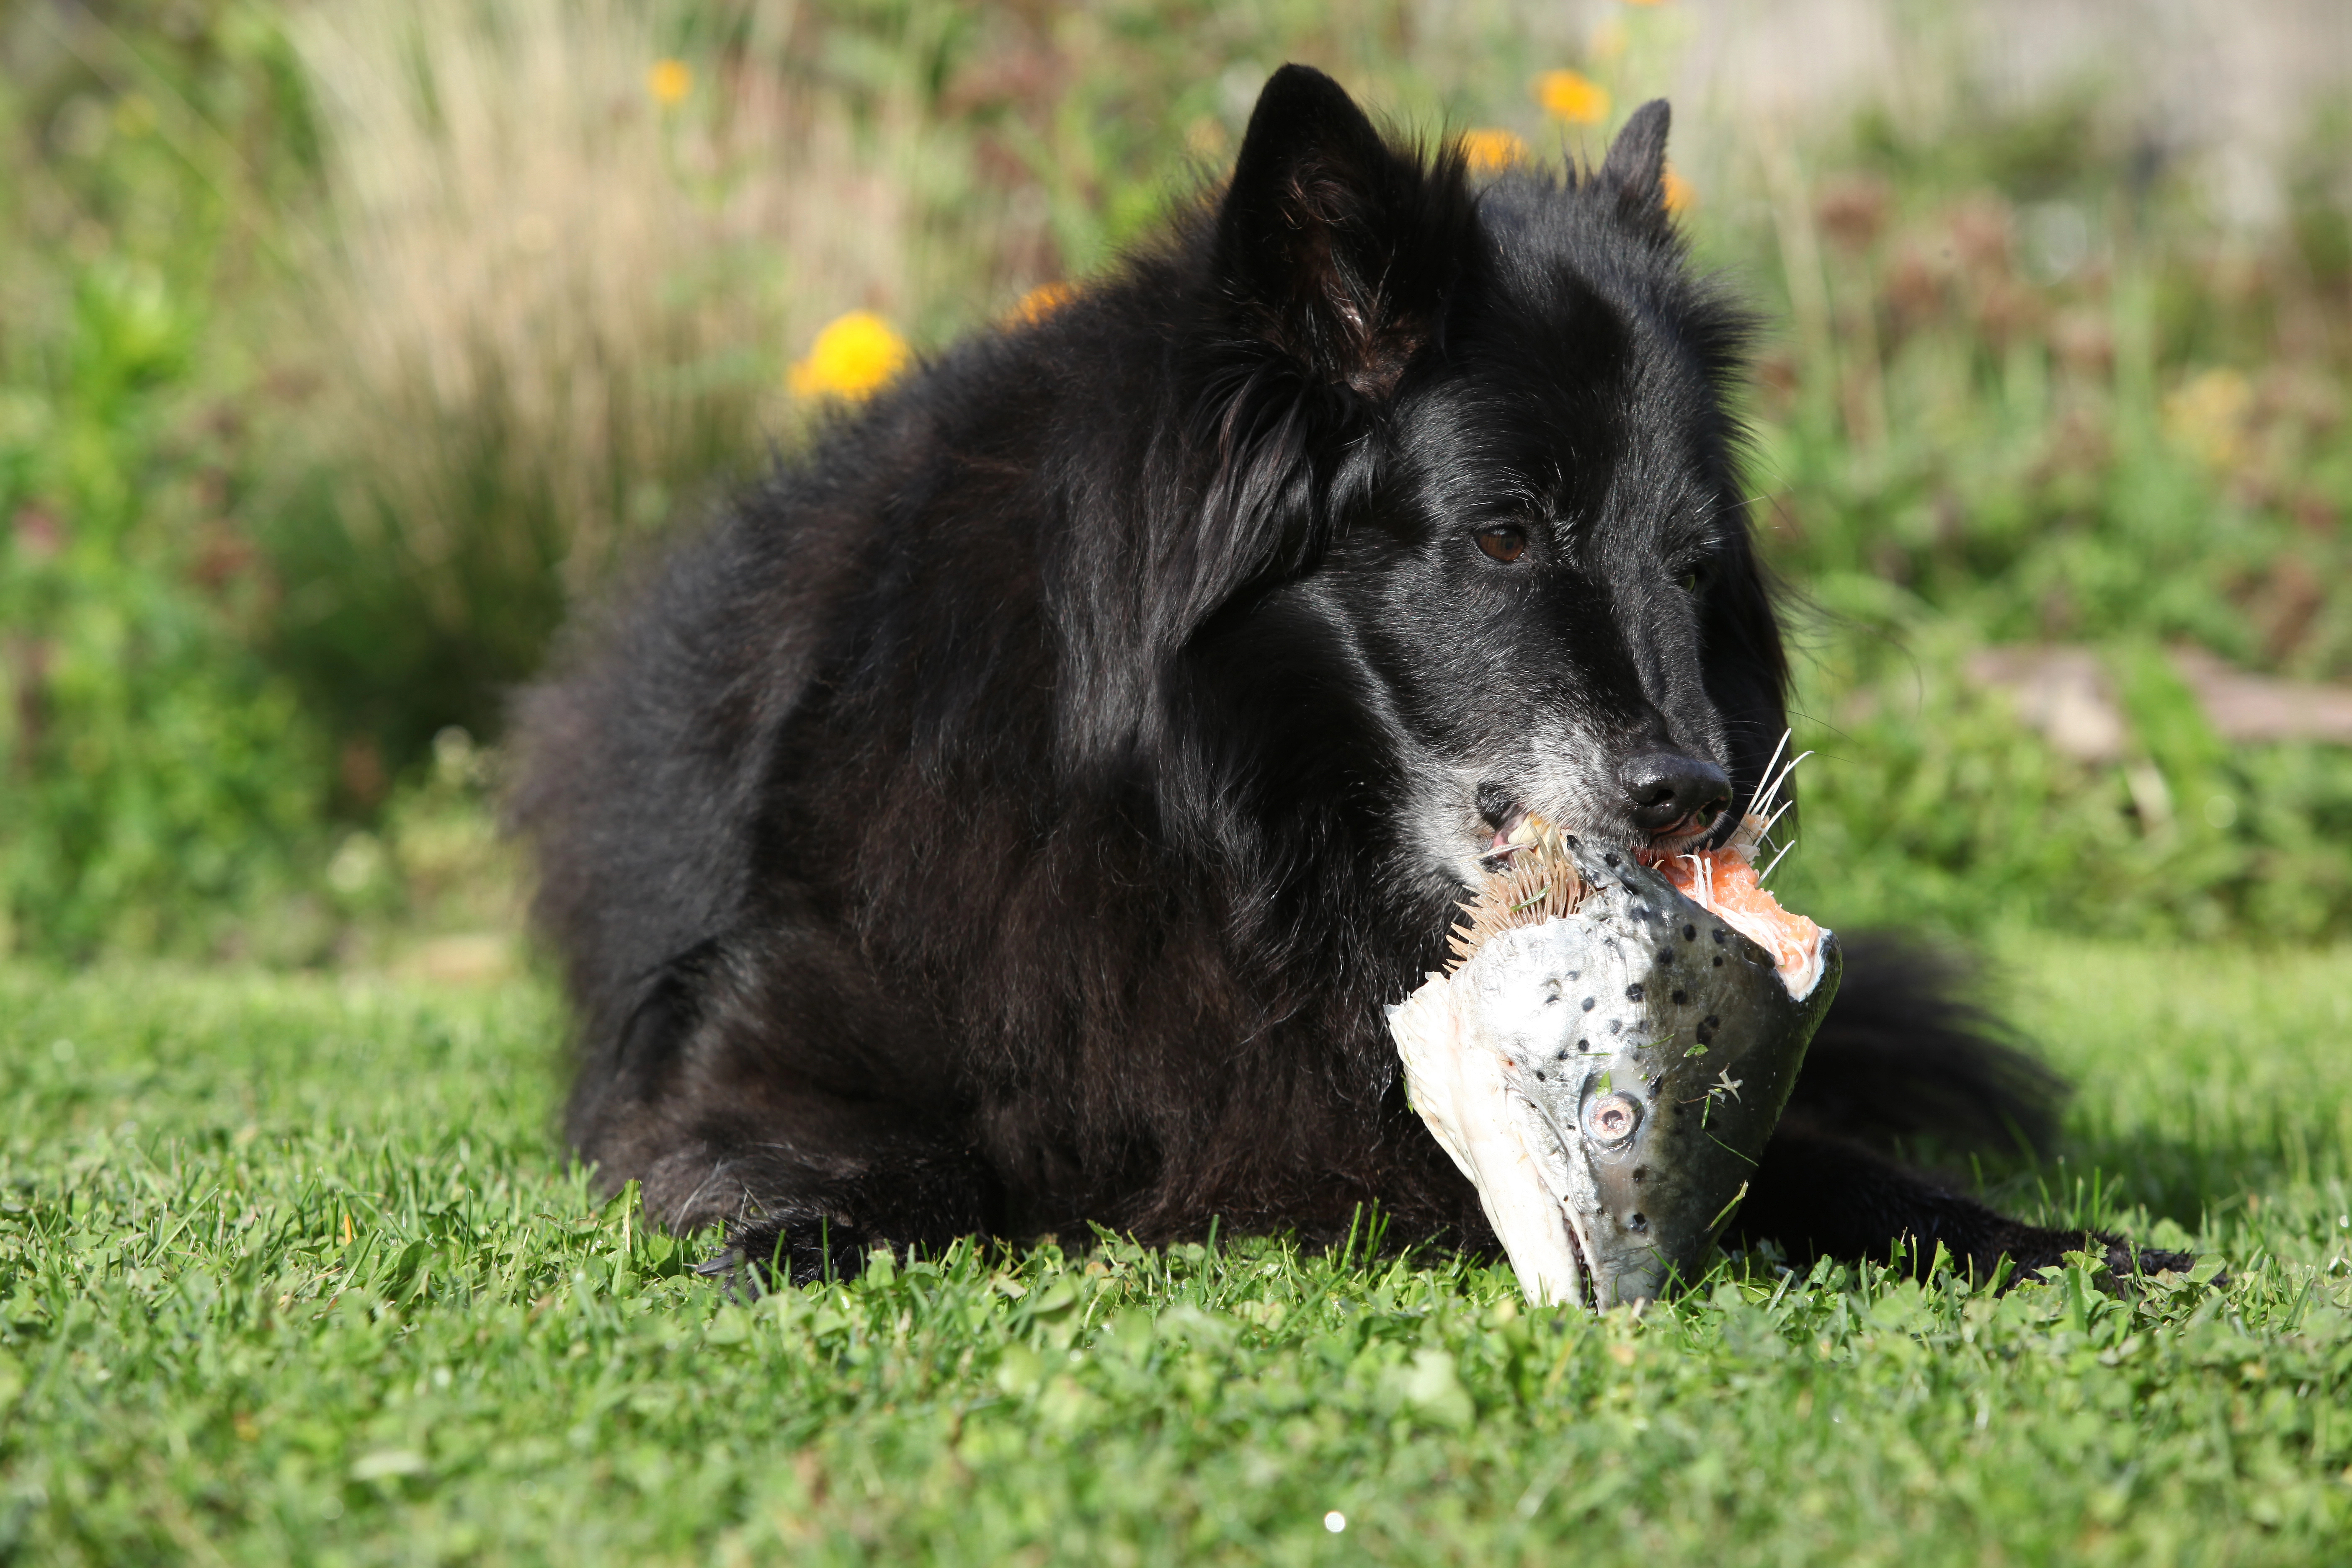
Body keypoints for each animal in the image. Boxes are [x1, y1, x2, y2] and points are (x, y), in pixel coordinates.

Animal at [520, 67, 2182, 1297]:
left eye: (1693, 563)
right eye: (1504, 533)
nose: (1696, 795)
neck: (1224, 837)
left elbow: (1827, 1164)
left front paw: (2062, 1246)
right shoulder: (769, 1041)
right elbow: (855, 1161)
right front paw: (785, 1235)